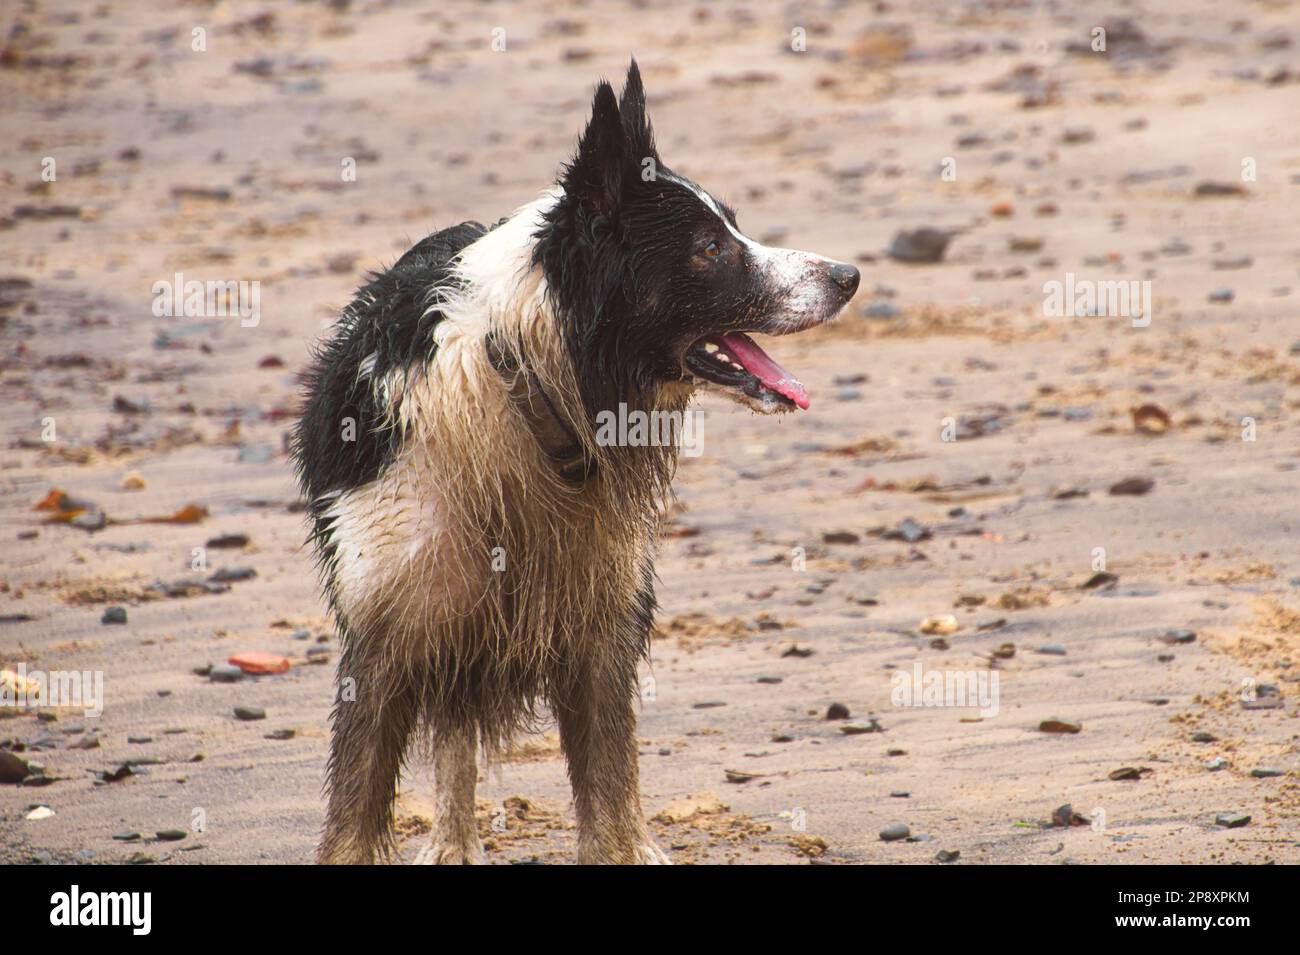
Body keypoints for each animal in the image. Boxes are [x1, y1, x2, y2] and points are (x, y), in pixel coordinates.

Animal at [295, 59, 863, 867]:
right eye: (709, 247)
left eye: (733, 226)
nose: (848, 275)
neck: (530, 388)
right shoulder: (387, 632)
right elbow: (354, 816)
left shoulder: (601, 628)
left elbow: (611, 799)